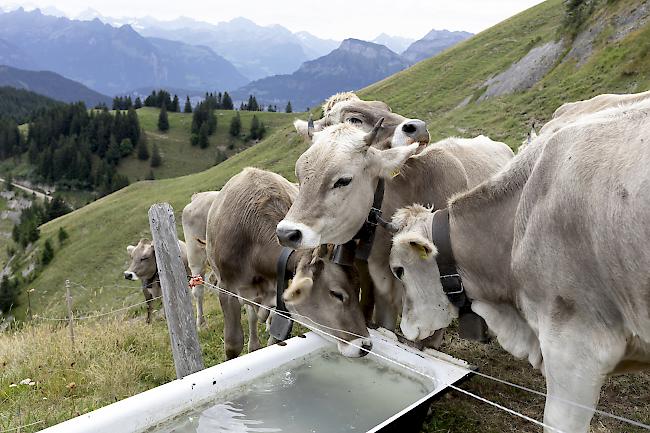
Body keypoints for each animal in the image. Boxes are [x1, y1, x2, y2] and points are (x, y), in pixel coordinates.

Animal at [208, 167, 370, 360]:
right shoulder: (226, 290)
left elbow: (275, 339)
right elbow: (233, 344)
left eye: (359, 288)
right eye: (336, 294)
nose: (366, 345)